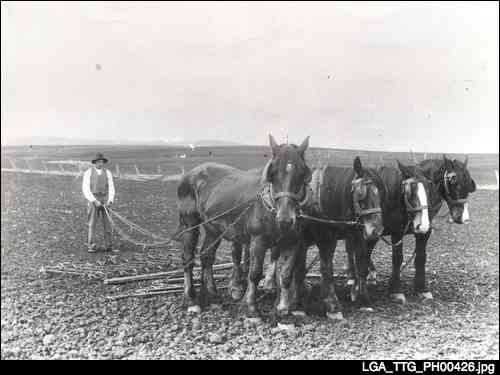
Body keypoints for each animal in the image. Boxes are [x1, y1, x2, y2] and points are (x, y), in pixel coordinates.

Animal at [174, 136, 310, 320]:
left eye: (302, 173)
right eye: (272, 173)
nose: (285, 219)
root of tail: (190, 174)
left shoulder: (293, 242)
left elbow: (286, 275)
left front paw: (283, 309)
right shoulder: (258, 241)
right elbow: (255, 273)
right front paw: (251, 307)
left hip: (213, 229)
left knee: (207, 257)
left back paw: (213, 295)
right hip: (189, 223)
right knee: (188, 258)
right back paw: (190, 300)